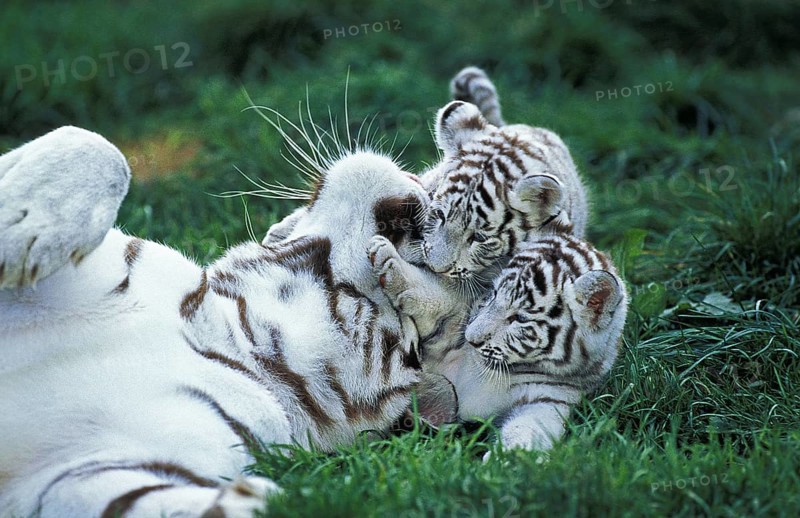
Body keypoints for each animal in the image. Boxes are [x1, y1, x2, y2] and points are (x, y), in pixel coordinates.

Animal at [0, 125, 434, 517]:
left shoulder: (81, 475)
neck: (241, 335)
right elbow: (97, 146)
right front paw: (23, 229)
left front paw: (254, 499)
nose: (415, 206)